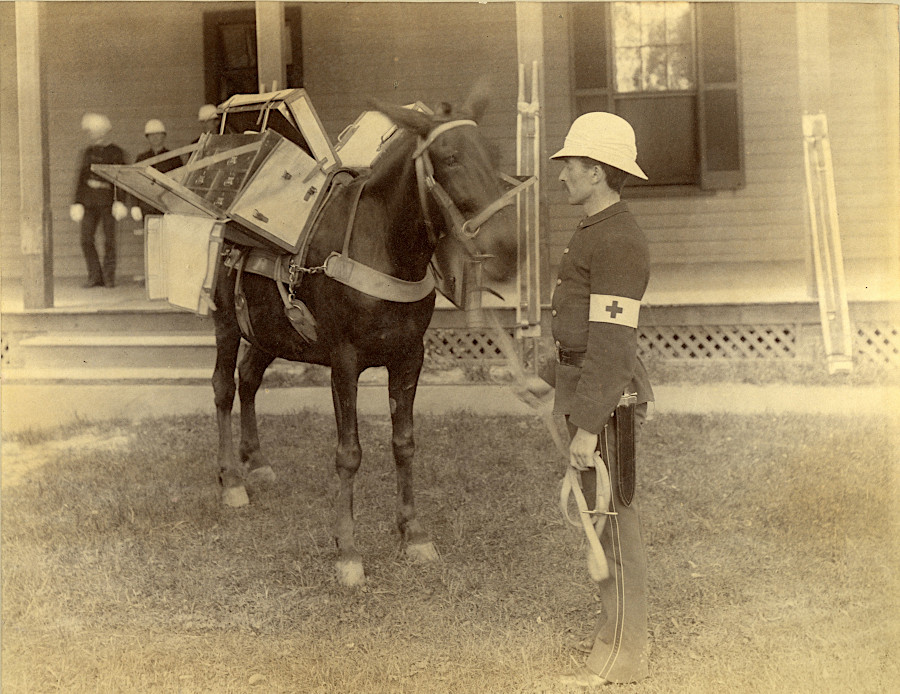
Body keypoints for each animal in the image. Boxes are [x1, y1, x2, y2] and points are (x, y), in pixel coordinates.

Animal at [210, 92, 516, 588]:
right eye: (450, 158)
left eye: (496, 155)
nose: (508, 247)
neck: (386, 248)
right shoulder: (345, 361)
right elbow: (349, 453)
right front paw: (348, 551)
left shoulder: (410, 357)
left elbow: (404, 442)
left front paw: (413, 533)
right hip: (224, 321)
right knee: (222, 387)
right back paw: (232, 480)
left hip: (268, 330)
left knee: (248, 379)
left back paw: (256, 461)